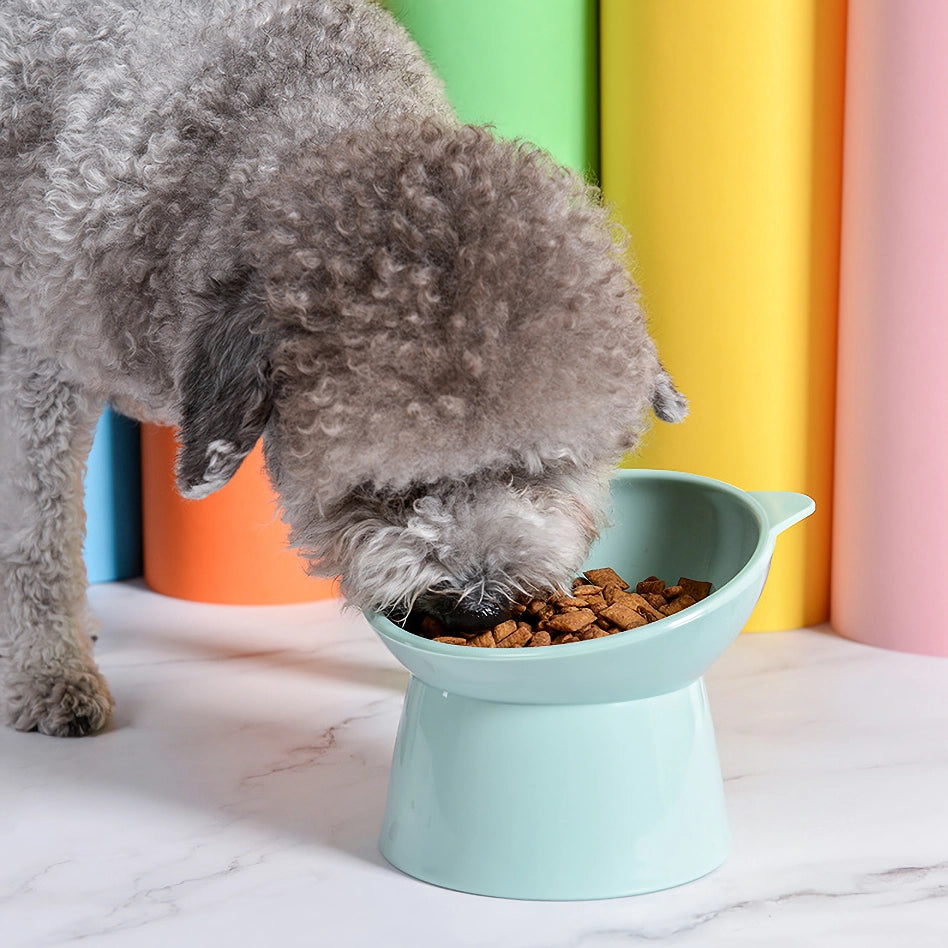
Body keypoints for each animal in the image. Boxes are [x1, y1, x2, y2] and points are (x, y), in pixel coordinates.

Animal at [0, 0, 680, 736]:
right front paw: (49, 671)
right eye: (387, 488)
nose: (479, 606)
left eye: (538, 469)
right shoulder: (35, 370)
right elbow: (37, 537)